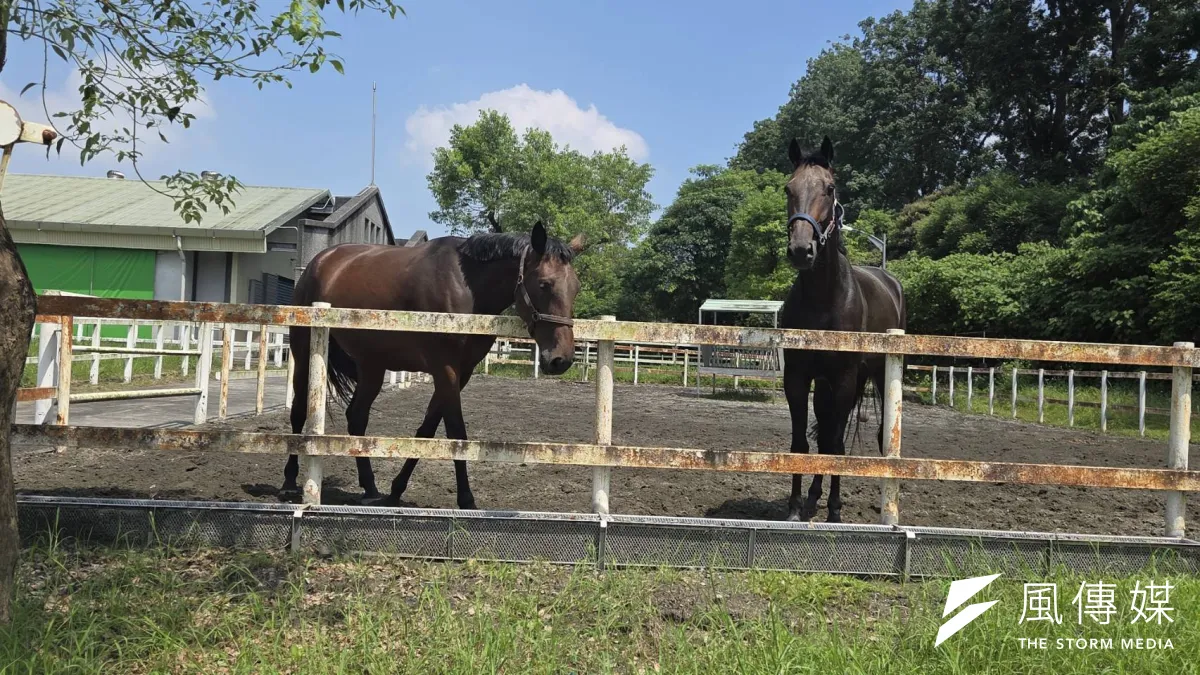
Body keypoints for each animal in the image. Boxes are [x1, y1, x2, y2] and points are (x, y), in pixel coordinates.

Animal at [280, 221, 584, 508]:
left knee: (357, 417)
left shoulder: (461, 373)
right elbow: (456, 432)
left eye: (576, 288)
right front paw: (466, 499)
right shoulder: (445, 368)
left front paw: (396, 490)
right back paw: (289, 482)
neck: (465, 285)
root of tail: (320, 261)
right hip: (305, 353)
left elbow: (427, 429)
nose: (561, 359)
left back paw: (370, 488)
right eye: (544, 284)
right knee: (299, 412)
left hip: (372, 366)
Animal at [780, 136, 906, 523]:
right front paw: (794, 508)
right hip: (825, 384)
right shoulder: (798, 376)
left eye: (830, 188)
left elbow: (836, 445)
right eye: (788, 188)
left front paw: (835, 511)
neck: (824, 299)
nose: (801, 250)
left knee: (869, 436)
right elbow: (802, 443)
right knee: (823, 434)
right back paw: (811, 498)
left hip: (874, 376)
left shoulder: (845, 379)